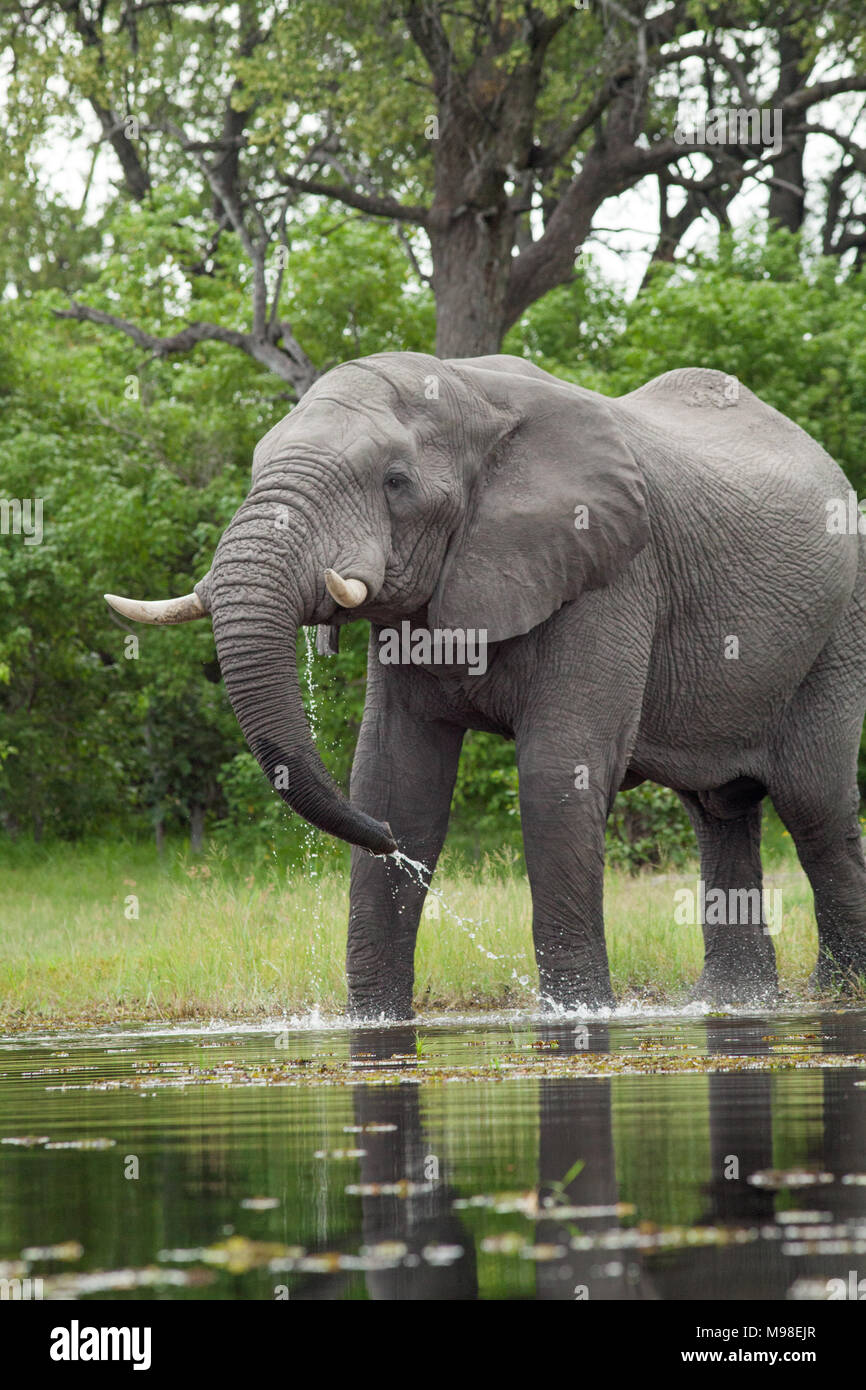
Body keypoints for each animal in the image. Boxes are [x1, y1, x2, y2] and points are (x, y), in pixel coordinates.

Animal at [104, 353, 866, 1017]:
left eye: (395, 481)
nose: (383, 842)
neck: (470, 392)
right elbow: (395, 778)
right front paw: (376, 1021)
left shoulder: (611, 571)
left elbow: (558, 774)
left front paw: (579, 1014)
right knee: (718, 812)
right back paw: (734, 1002)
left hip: (839, 627)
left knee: (815, 806)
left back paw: (835, 993)